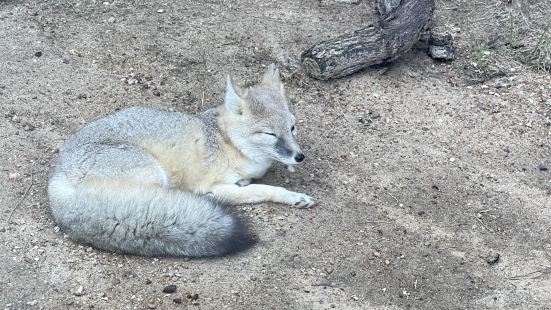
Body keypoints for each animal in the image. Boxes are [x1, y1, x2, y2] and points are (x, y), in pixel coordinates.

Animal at [48, 65, 314, 256]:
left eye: (292, 128)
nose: (299, 156)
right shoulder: (212, 188)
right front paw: (293, 196)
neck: (226, 140)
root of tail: (57, 181)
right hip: (155, 176)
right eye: (270, 134)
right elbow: (262, 190)